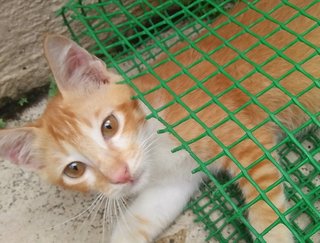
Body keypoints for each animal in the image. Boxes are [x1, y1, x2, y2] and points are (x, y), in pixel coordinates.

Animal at [0, 0, 320, 242]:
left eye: (109, 126)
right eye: (74, 169)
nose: (121, 175)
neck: (157, 146)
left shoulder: (243, 136)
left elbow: (264, 202)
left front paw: (274, 235)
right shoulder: (173, 184)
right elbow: (138, 220)